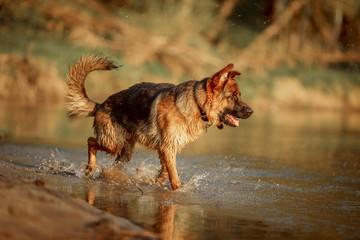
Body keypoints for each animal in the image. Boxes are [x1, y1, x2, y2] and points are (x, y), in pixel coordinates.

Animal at [67, 54, 253, 189]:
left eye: (239, 95)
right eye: (233, 96)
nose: (251, 112)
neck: (196, 103)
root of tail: (101, 104)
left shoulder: (168, 147)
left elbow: (165, 171)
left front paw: (157, 181)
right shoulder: (167, 147)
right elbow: (174, 177)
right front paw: (178, 190)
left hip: (125, 151)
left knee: (113, 163)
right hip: (114, 143)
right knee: (90, 141)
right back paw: (91, 168)